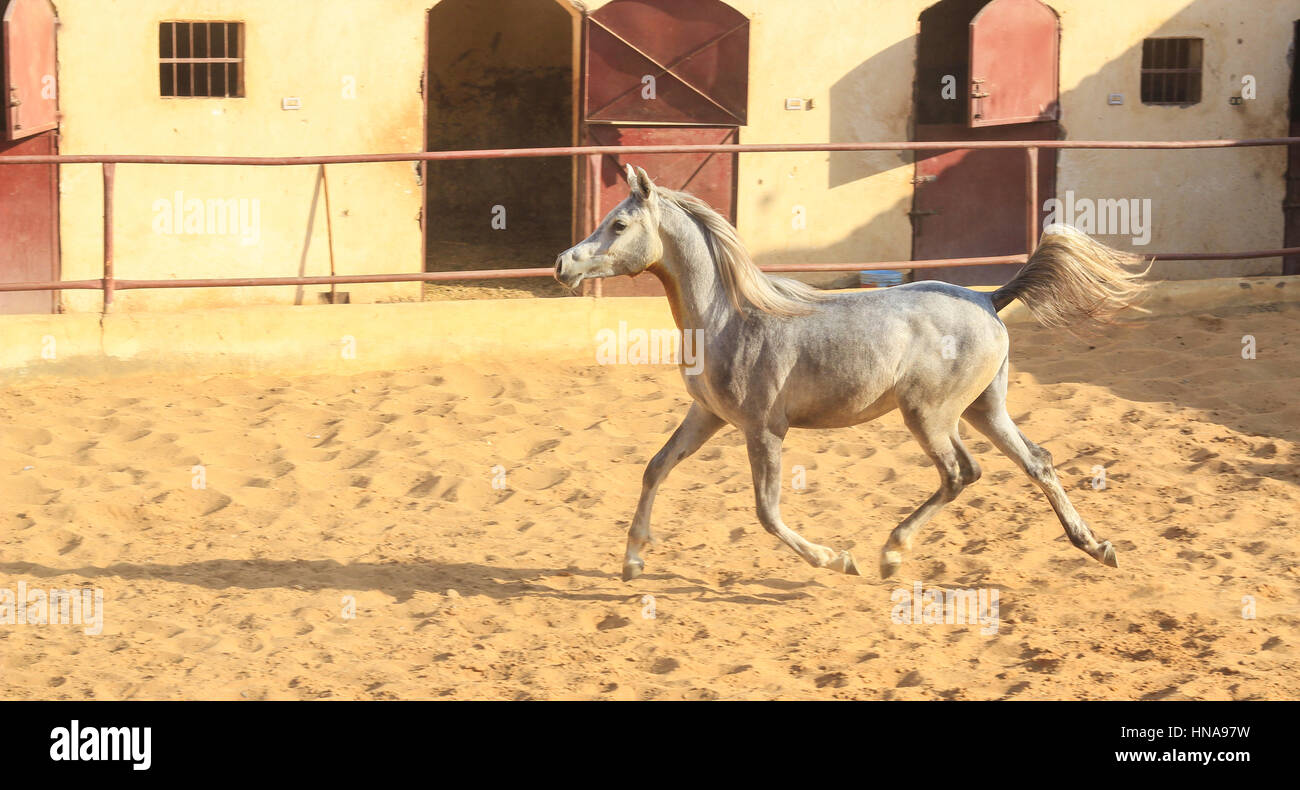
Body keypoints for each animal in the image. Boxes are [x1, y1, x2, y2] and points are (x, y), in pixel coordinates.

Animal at [555, 165, 1146, 582]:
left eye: (619, 224)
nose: (563, 264)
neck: (731, 315)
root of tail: (989, 298)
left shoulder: (763, 430)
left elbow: (767, 511)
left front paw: (836, 559)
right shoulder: (707, 415)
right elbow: (656, 467)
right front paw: (632, 561)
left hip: (928, 416)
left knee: (960, 473)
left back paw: (890, 554)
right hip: (982, 410)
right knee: (1033, 462)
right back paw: (1097, 546)